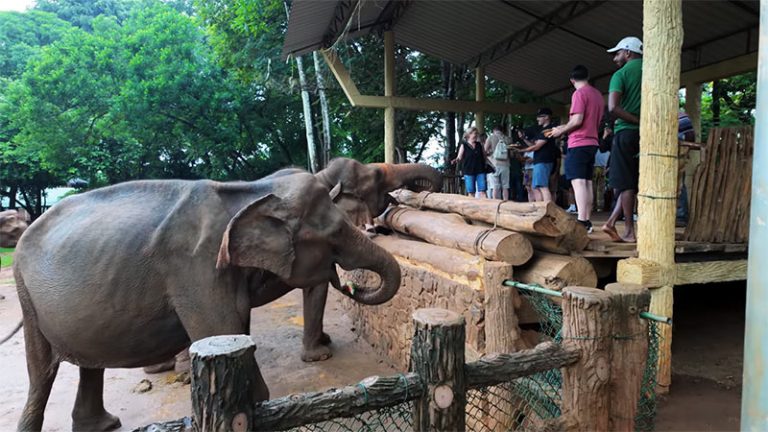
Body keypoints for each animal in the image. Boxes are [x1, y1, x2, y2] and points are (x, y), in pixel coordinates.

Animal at [10, 170, 401, 431]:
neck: (250, 191)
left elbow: (237, 325)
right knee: (41, 371)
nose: (350, 286)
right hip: (26, 295)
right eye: (334, 234)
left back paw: (105, 424)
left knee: (89, 363)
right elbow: (220, 327)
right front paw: (265, 398)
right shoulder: (195, 267)